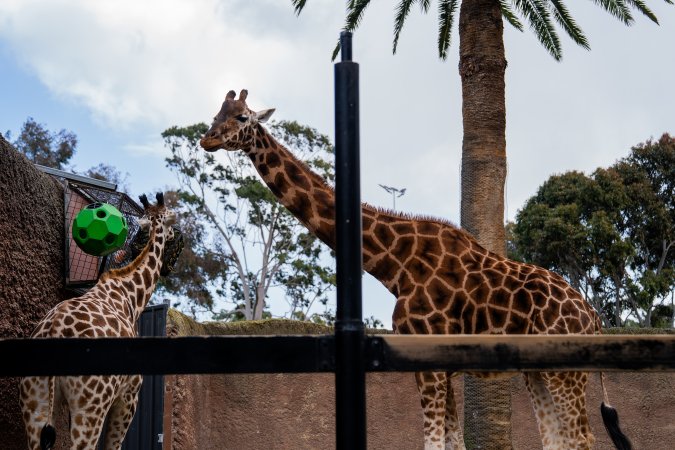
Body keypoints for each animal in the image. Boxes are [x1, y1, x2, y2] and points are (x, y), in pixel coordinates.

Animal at [19, 193, 176, 450]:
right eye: (172, 218)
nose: (174, 236)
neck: (131, 297)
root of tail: (55, 330)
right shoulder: (129, 396)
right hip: (92, 404)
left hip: (35, 401)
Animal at [199, 90, 631, 450]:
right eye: (216, 112)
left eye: (241, 117)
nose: (207, 139)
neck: (394, 264)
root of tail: (593, 317)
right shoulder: (443, 367)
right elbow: (452, 444)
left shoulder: (429, 362)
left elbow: (435, 443)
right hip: (540, 372)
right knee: (559, 439)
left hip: (567, 372)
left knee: (581, 438)